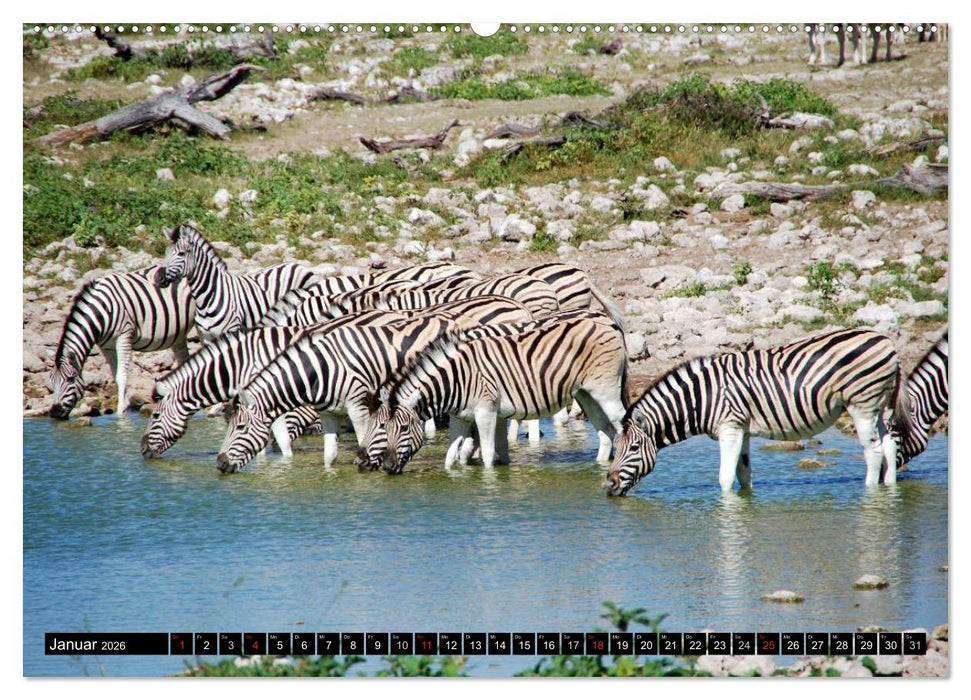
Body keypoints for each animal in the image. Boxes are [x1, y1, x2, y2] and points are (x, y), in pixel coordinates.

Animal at [47, 267, 195, 419]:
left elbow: (121, 376)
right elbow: (116, 376)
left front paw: (120, 414)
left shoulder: (124, 336)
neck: (102, 312)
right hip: (179, 335)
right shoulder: (107, 346)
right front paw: (124, 407)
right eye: (51, 380)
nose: (54, 412)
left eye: (70, 379)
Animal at [154, 223, 319, 343]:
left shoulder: (231, 331)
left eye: (181, 254)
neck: (207, 297)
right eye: (165, 254)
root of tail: (297, 265)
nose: (157, 278)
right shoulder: (205, 337)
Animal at [216, 297, 535, 473]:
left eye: (240, 428)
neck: (320, 368)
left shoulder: (358, 405)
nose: (219, 464)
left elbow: (363, 439)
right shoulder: (329, 412)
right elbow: (329, 456)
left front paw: (367, 464)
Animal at [358, 309, 629, 475]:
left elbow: (488, 454)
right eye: (381, 427)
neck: (456, 378)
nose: (387, 467)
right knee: (605, 433)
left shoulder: (486, 412)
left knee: (624, 425)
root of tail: (608, 321)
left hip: (605, 391)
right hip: (586, 394)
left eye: (402, 428)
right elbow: (452, 455)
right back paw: (598, 467)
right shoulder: (463, 417)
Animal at [604, 329, 913, 496]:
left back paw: (869, 492)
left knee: (873, 452)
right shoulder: (742, 429)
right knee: (889, 445)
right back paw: (889, 490)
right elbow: (743, 473)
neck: (702, 397)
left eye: (633, 448)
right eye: (617, 447)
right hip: (878, 407)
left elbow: (725, 477)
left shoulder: (729, 427)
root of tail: (888, 342)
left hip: (862, 405)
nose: (608, 485)